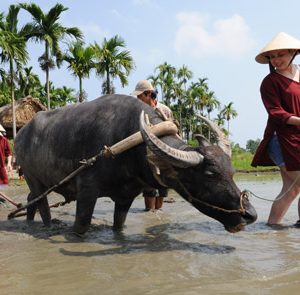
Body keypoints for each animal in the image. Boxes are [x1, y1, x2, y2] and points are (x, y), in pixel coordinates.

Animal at [14, 95, 256, 236]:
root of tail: (20, 135)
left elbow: (118, 226)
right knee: (42, 205)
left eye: (232, 172)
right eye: (210, 174)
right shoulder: (87, 192)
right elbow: (81, 226)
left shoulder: (126, 197)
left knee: (30, 200)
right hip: (32, 178)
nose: (250, 215)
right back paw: (46, 225)